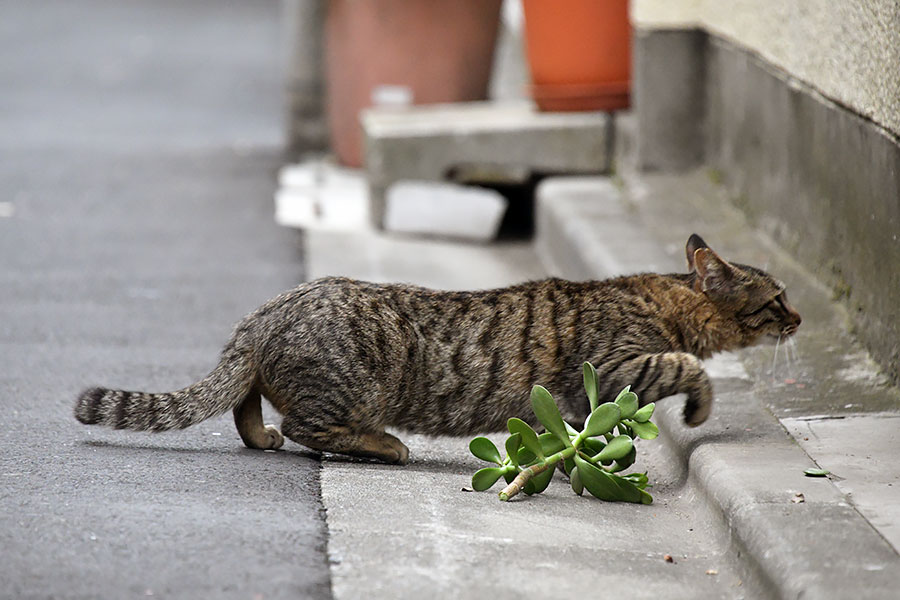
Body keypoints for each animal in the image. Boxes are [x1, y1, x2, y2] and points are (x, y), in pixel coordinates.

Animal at [74, 234, 800, 464]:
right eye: (777, 299)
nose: (799, 316)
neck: (656, 296)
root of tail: (269, 309)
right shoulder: (619, 364)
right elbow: (687, 367)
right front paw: (701, 409)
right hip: (353, 387)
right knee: (306, 425)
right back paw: (385, 445)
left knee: (247, 406)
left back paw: (262, 437)